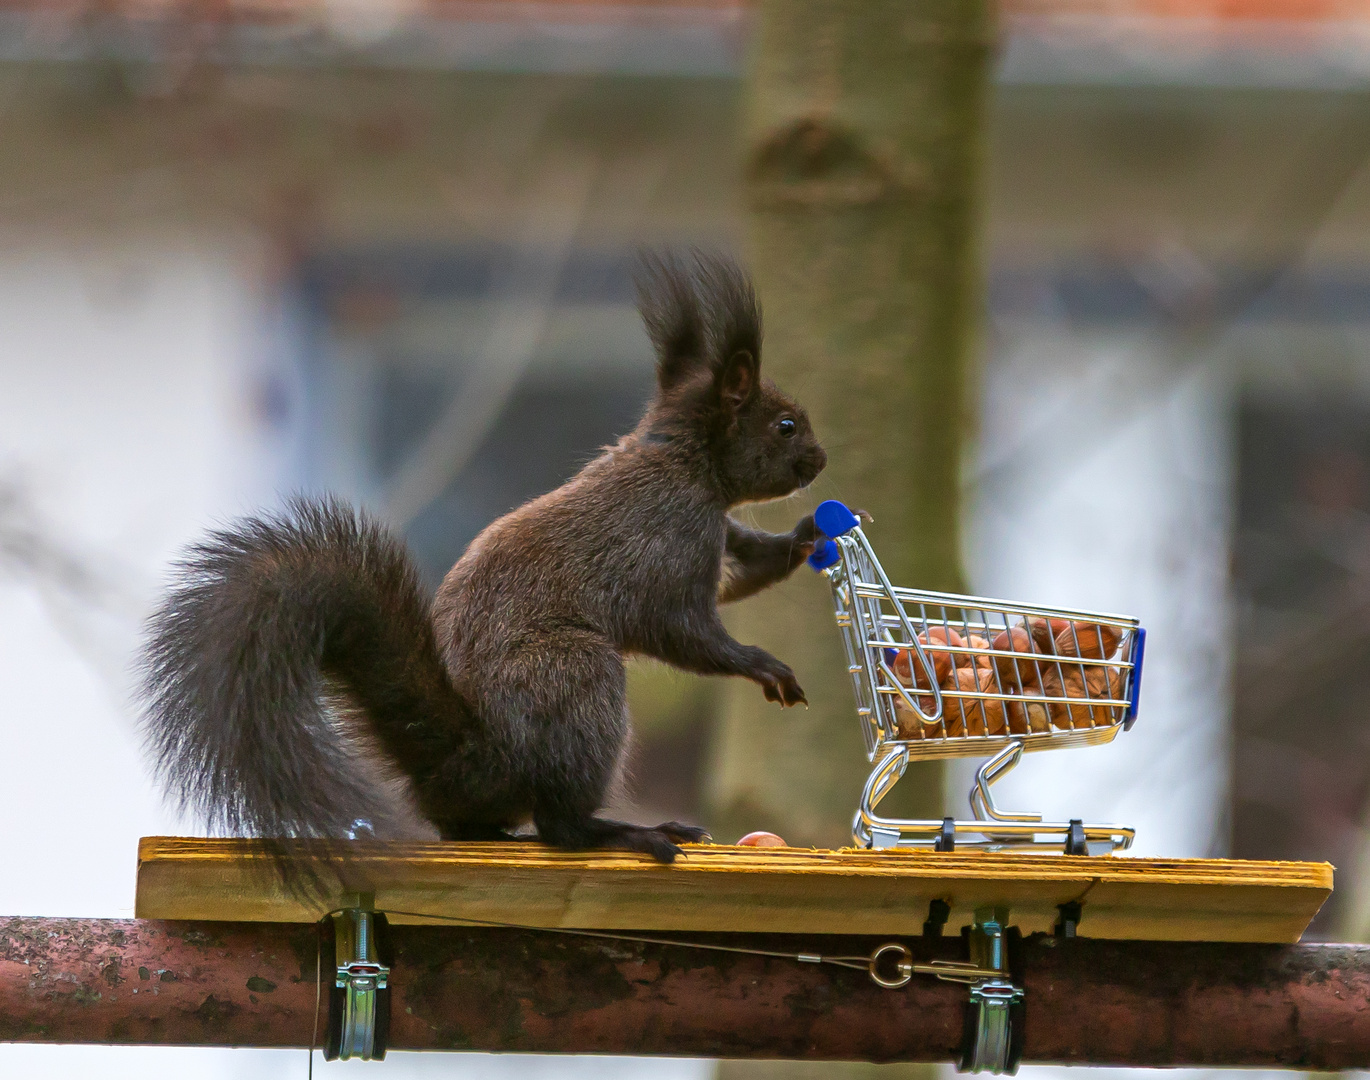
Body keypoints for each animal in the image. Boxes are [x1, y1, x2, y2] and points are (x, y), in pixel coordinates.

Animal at [136, 250, 822, 860]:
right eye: (785, 426)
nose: (819, 462)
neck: (679, 458)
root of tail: (470, 764)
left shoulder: (720, 536)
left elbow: (748, 570)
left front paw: (810, 537)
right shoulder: (667, 542)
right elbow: (685, 633)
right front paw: (763, 664)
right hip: (575, 676)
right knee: (561, 826)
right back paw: (630, 832)